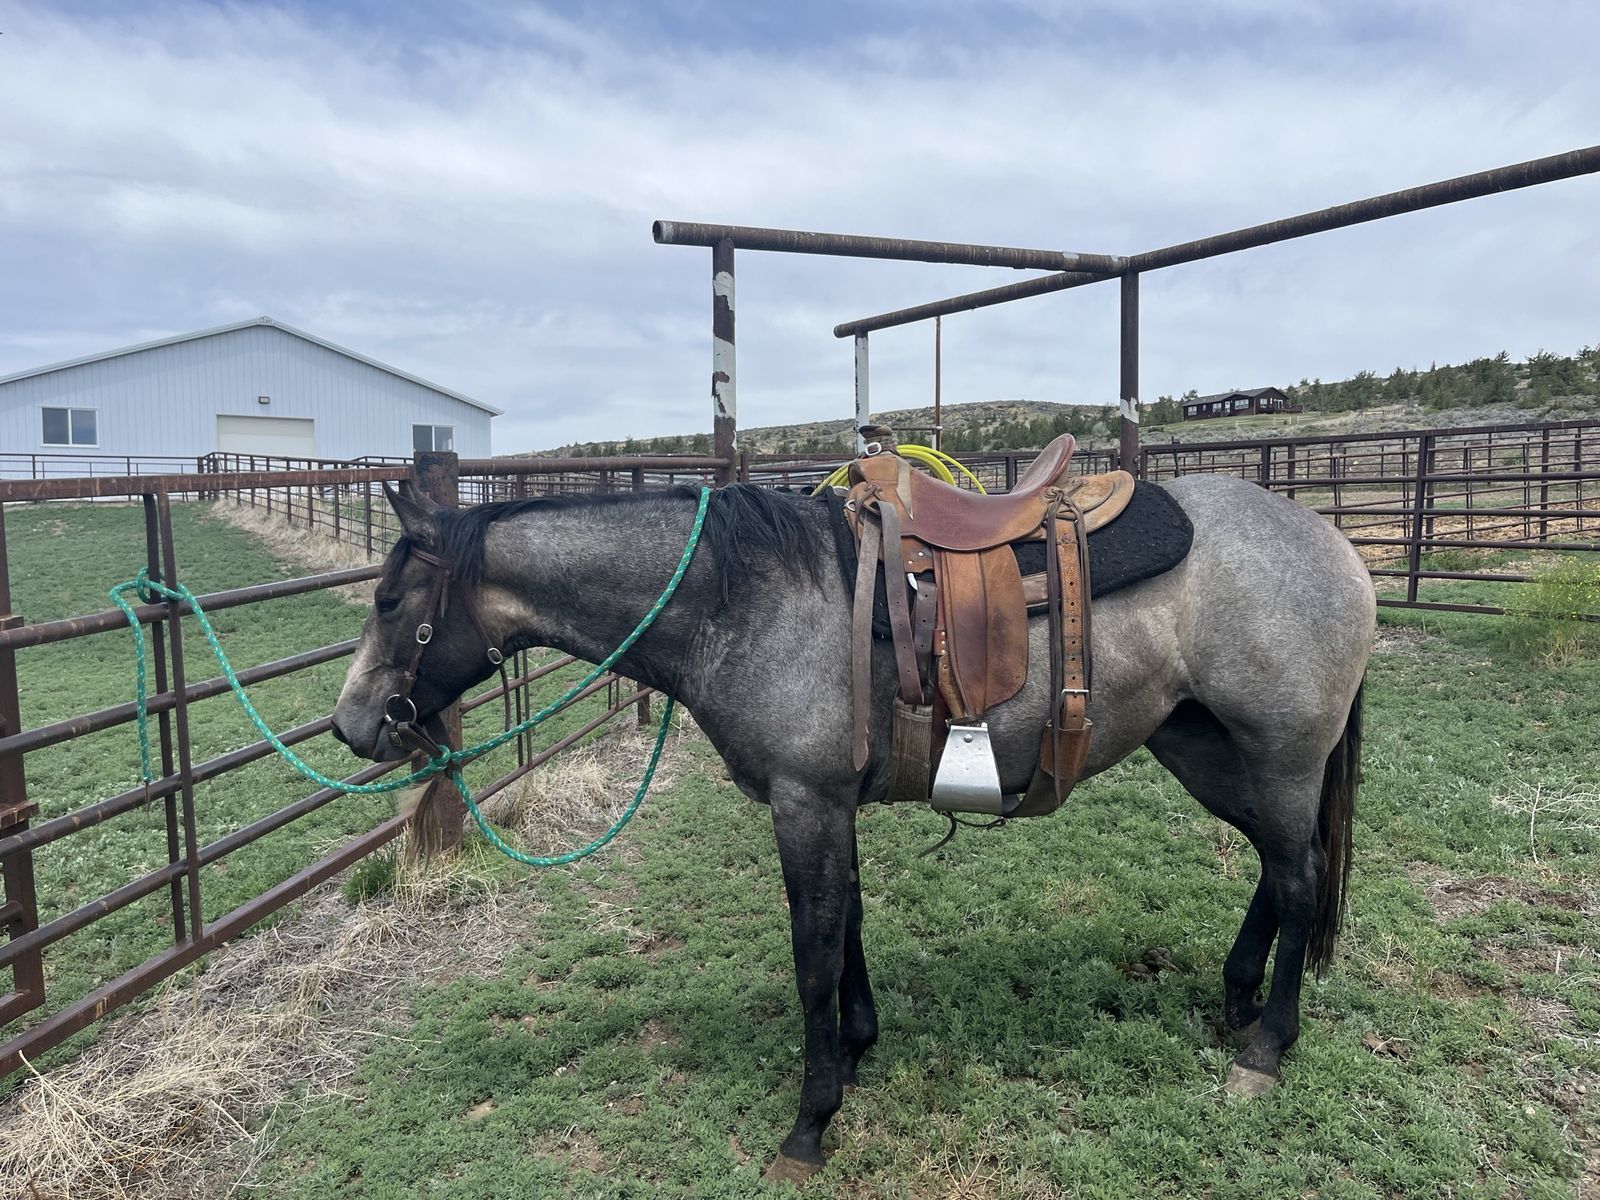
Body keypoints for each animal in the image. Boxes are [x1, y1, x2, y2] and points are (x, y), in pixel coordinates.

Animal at [330, 472, 1375, 1185]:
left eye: (389, 601)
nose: (349, 726)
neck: (740, 600)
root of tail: (1337, 548)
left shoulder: (804, 802)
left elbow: (813, 951)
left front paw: (810, 1121)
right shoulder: (829, 803)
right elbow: (851, 927)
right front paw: (862, 1044)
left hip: (1276, 758)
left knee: (1297, 875)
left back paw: (1265, 1049)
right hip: (1204, 749)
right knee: (1276, 869)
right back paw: (1238, 996)